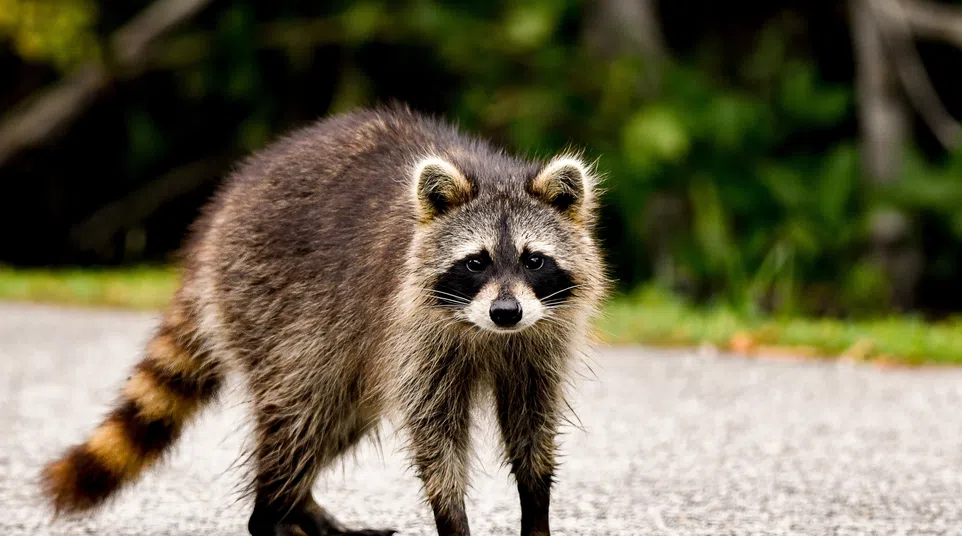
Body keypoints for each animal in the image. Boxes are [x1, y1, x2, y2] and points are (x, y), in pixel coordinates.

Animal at [41, 106, 607, 536]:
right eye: (476, 262)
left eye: (534, 260)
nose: (506, 312)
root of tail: (218, 218)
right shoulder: (415, 331)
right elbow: (435, 436)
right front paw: (451, 516)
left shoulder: (541, 338)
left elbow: (533, 424)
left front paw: (536, 507)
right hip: (274, 306)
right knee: (300, 411)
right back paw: (270, 514)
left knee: (339, 417)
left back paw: (298, 505)